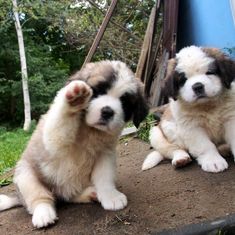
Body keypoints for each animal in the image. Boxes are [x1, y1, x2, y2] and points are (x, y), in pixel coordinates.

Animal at [0, 60, 149, 228]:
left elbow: (104, 176)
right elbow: (61, 121)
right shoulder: (55, 142)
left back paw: (90, 194)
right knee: (40, 198)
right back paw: (43, 213)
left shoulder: (105, 153)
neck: (91, 130)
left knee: (68, 196)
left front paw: (110, 196)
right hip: (26, 175)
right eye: (97, 91)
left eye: (124, 102)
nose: (107, 111)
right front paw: (75, 100)